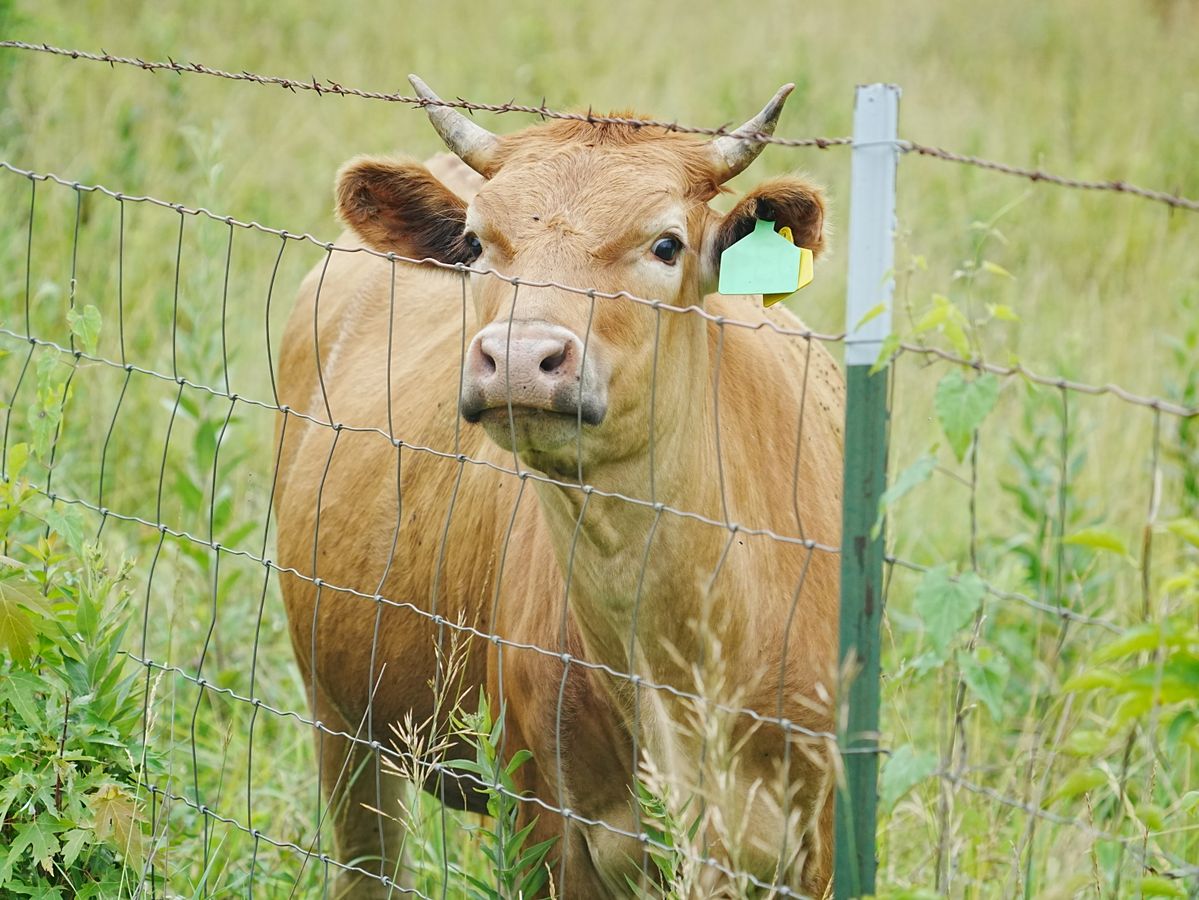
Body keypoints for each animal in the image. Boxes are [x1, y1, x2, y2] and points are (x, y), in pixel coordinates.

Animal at [273, 76, 844, 898]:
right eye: (476, 242)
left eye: (665, 244)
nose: (518, 357)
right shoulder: (544, 817)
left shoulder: (818, 832)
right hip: (341, 718)